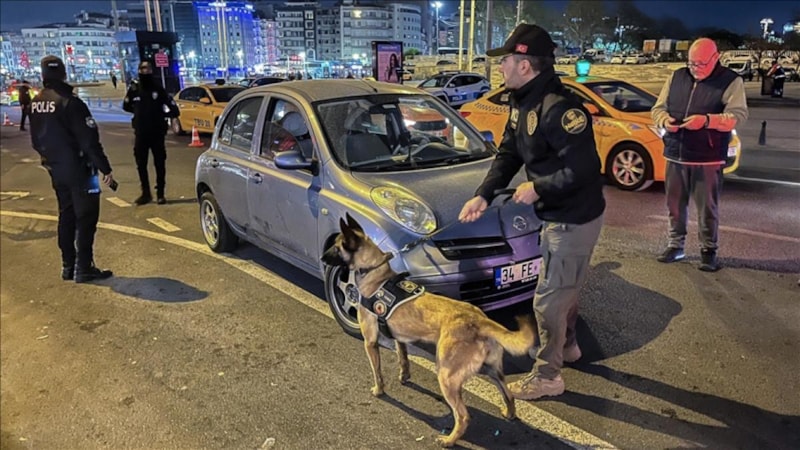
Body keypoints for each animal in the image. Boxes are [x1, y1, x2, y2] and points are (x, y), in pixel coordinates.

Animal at [321, 214, 535, 447]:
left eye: (336, 248)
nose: (322, 258)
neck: (375, 272)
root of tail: (480, 320)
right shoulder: (399, 338)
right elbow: (403, 359)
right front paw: (404, 376)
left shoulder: (370, 342)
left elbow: (377, 372)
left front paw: (379, 390)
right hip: (491, 370)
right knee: (508, 395)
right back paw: (509, 414)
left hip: (447, 376)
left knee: (463, 415)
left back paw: (449, 440)